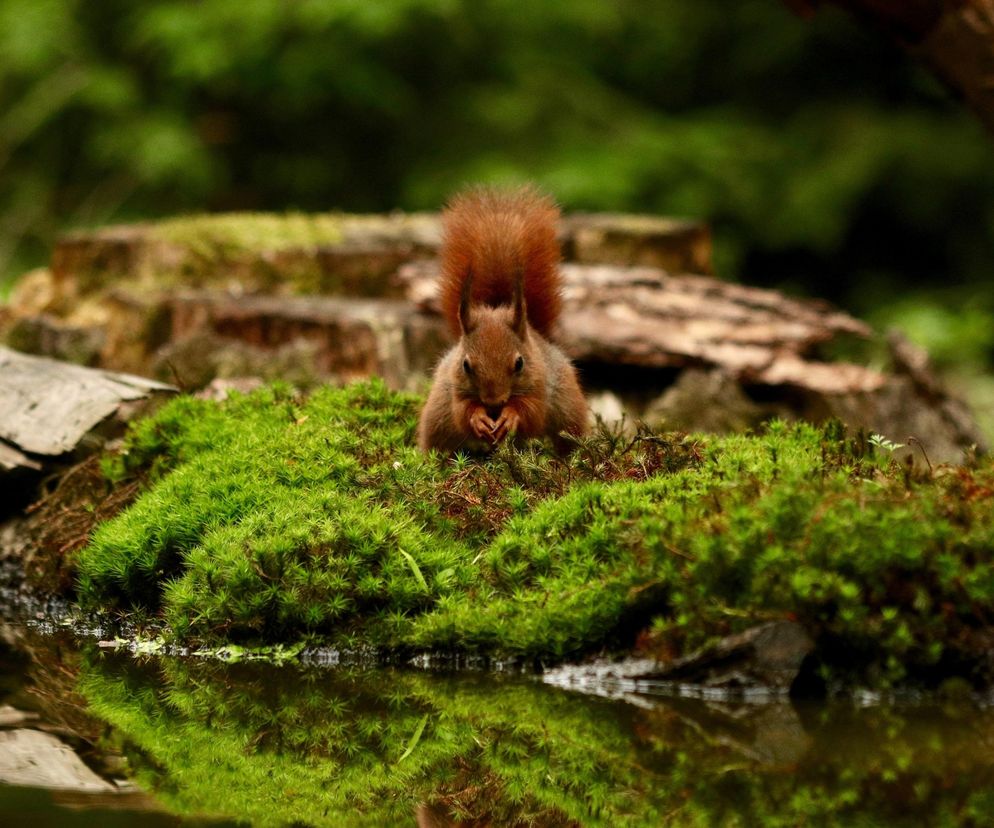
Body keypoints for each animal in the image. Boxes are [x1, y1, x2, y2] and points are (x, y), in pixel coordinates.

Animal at [412, 184, 584, 452]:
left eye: (520, 363)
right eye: (466, 365)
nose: (494, 401)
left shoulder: (540, 386)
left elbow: (530, 411)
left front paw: (510, 416)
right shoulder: (456, 390)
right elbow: (463, 411)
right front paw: (478, 418)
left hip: (568, 410)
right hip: (437, 416)